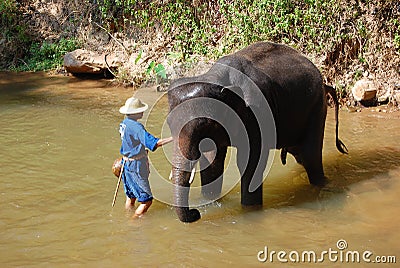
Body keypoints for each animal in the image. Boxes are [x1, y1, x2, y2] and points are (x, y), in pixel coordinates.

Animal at [166, 41, 346, 222]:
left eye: (204, 125)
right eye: (168, 124)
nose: (195, 213)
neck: (216, 78)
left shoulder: (256, 113)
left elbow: (250, 162)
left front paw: (249, 210)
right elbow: (213, 161)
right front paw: (209, 200)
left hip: (316, 107)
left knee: (311, 157)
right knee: (301, 155)